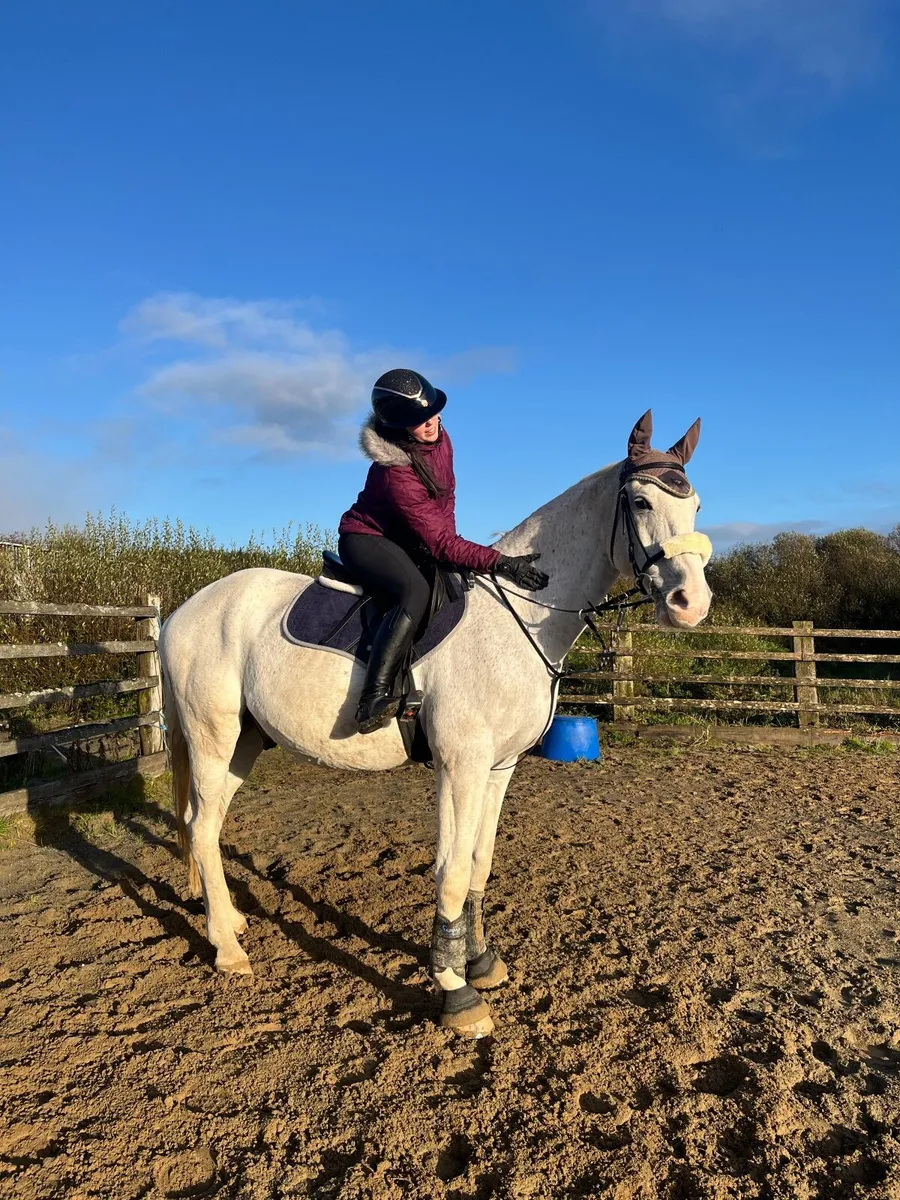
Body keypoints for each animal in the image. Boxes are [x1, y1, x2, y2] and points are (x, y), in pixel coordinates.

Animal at [159, 410, 712, 1037]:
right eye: (640, 502)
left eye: (696, 507)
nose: (691, 604)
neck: (519, 617)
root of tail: (183, 611)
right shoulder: (460, 766)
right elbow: (449, 871)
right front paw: (455, 992)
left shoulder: (499, 767)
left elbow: (477, 864)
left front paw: (479, 962)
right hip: (212, 737)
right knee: (201, 827)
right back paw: (228, 950)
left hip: (244, 744)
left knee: (207, 828)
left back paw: (228, 922)